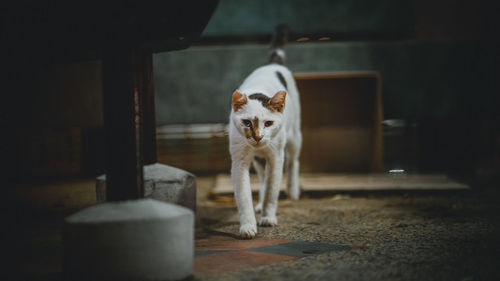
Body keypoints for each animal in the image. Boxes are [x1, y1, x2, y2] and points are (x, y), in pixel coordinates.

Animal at [229, 24, 302, 238]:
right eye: (246, 123)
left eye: (268, 123)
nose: (258, 137)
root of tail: (272, 64)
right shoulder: (239, 161)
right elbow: (245, 197)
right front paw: (248, 226)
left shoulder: (276, 157)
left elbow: (272, 190)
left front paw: (268, 218)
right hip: (257, 161)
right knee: (262, 179)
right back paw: (260, 204)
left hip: (294, 138)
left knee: (293, 162)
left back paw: (293, 191)